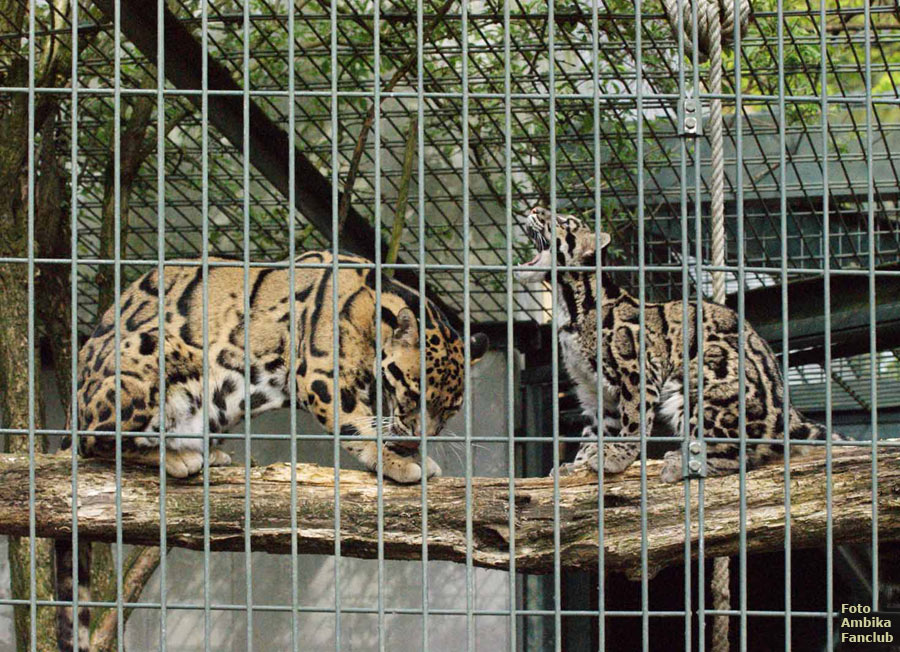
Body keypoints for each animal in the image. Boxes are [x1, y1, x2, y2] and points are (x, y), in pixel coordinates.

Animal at [73, 250, 488, 484]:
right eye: (414, 393)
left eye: (450, 410)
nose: (422, 437)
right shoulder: (321, 377)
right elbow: (357, 425)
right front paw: (396, 462)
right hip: (149, 356)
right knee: (94, 441)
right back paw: (177, 456)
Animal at [516, 206, 840, 482]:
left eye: (563, 221)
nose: (533, 208)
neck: (568, 306)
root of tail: (790, 415)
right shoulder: (595, 391)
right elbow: (595, 430)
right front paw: (578, 463)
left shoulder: (637, 371)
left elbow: (633, 422)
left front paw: (617, 457)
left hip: (699, 391)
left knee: (738, 455)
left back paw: (683, 462)